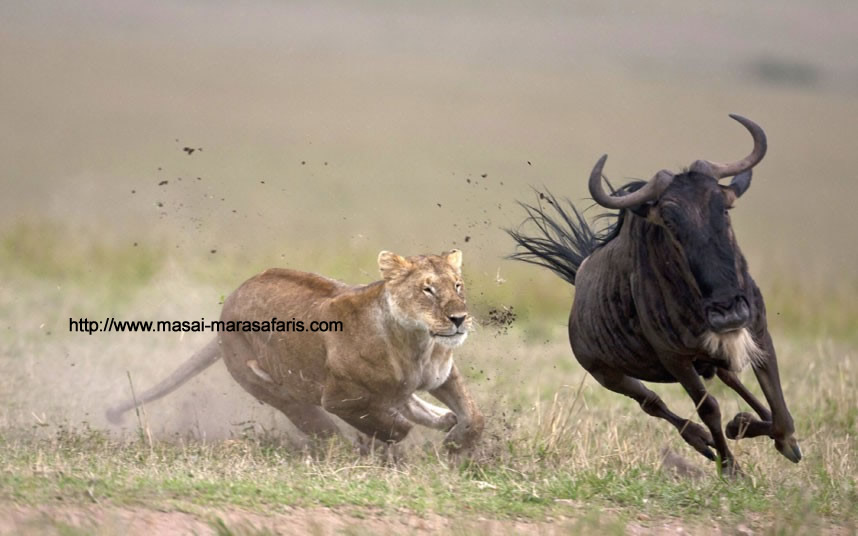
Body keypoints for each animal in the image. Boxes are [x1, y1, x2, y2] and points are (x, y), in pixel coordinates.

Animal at [106, 249, 484, 451]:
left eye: (458, 286)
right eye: (427, 290)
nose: (458, 318)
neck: (417, 344)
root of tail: (224, 314)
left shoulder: (442, 375)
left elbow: (474, 415)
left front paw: (456, 443)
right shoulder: (340, 398)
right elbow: (394, 427)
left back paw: (442, 419)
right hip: (275, 389)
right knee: (319, 425)